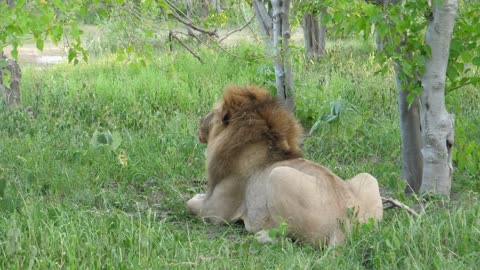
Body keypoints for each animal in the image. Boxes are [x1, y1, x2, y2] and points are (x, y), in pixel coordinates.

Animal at [188, 85, 382, 247]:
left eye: (212, 113)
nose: (199, 122)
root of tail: (344, 224)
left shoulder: (216, 210)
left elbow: (190, 204)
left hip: (278, 175)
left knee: (285, 236)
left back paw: (261, 236)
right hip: (368, 178)